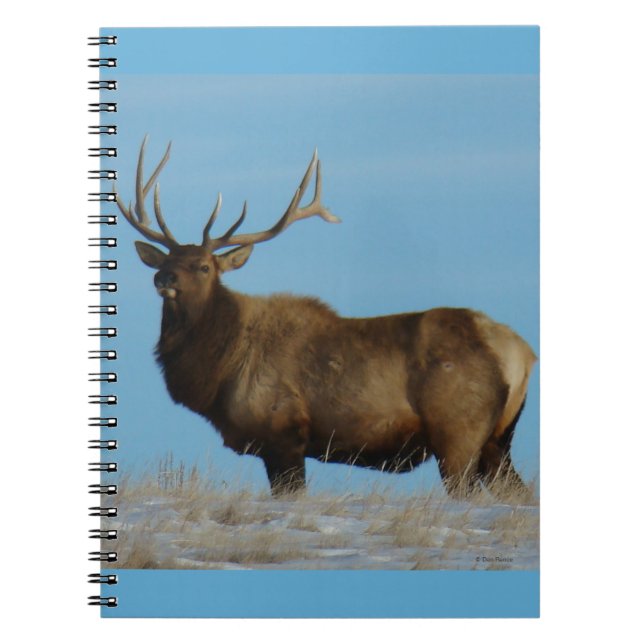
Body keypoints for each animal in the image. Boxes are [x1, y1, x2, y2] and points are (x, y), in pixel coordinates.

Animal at [114, 136, 537, 498]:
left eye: (203, 267)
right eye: (166, 260)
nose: (164, 278)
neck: (219, 373)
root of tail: (524, 353)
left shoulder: (283, 433)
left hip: (458, 430)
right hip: (497, 438)